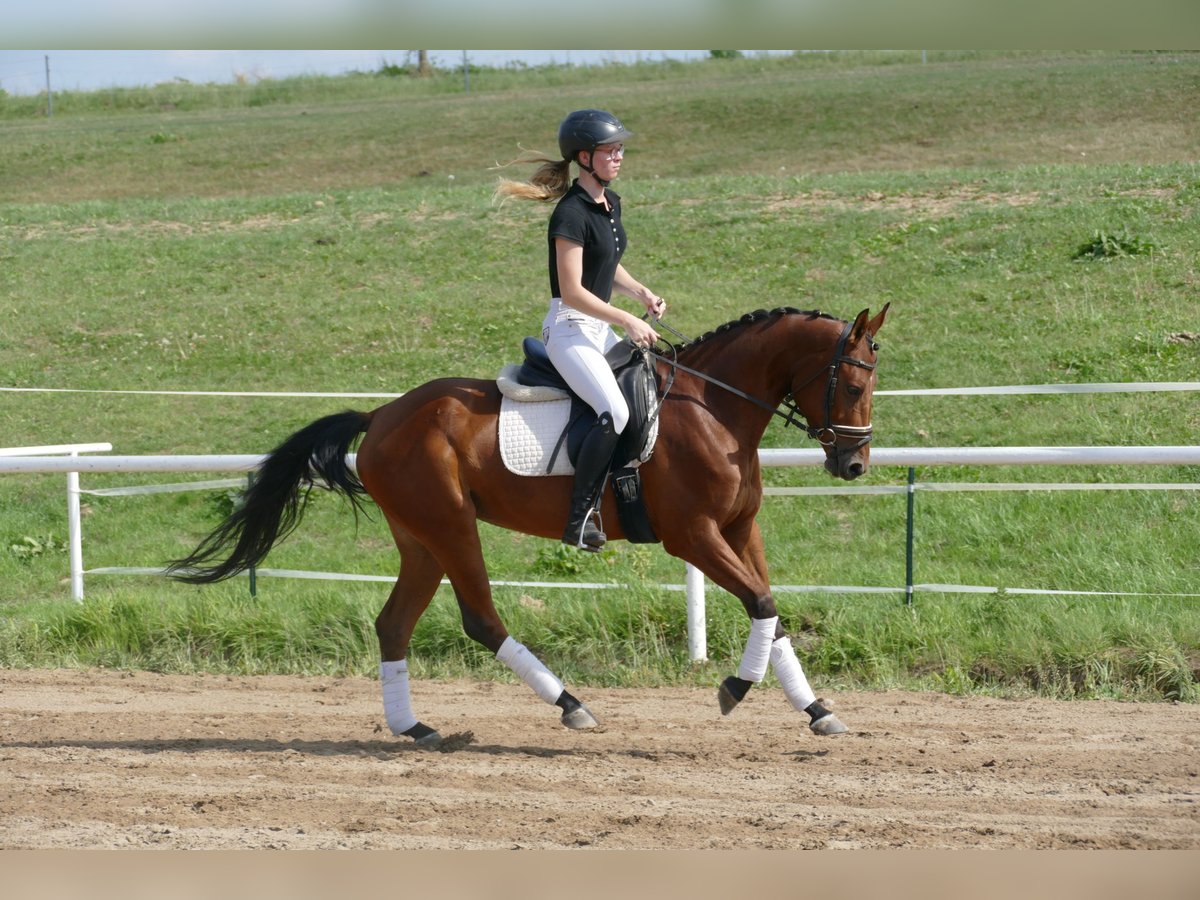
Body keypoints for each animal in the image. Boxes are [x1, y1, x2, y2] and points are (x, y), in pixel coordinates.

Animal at [174, 303, 892, 748]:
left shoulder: (741, 530)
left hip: (420, 539)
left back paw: (416, 729)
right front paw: (735, 689)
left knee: (393, 624)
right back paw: (571, 705)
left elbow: (772, 611)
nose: (854, 463)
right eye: (854, 385)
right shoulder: (694, 535)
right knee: (480, 619)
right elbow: (763, 603)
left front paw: (819, 712)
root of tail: (381, 415)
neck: (714, 406)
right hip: (451, 526)